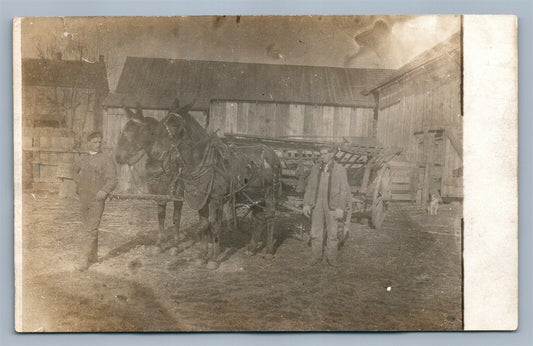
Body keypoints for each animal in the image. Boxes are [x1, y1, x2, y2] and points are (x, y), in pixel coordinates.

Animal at [115, 104, 185, 246]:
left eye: (132, 131)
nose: (118, 157)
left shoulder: (178, 189)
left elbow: (177, 213)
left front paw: (176, 239)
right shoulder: (157, 189)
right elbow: (161, 213)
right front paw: (161, 238)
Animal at [150, 101, 282, 268]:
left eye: (175, 125)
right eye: (163, 122)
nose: (155, 152)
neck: (205, 163)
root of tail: (272, 153)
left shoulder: (217, 199)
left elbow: (214, 226)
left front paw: (213, 259)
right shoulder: (202, 199)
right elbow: (204, 224)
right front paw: (201, 256)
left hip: (270, 193)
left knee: (270, 217)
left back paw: (269, 251)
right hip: (254, 196)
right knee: (258, 219)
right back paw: (251, 248)